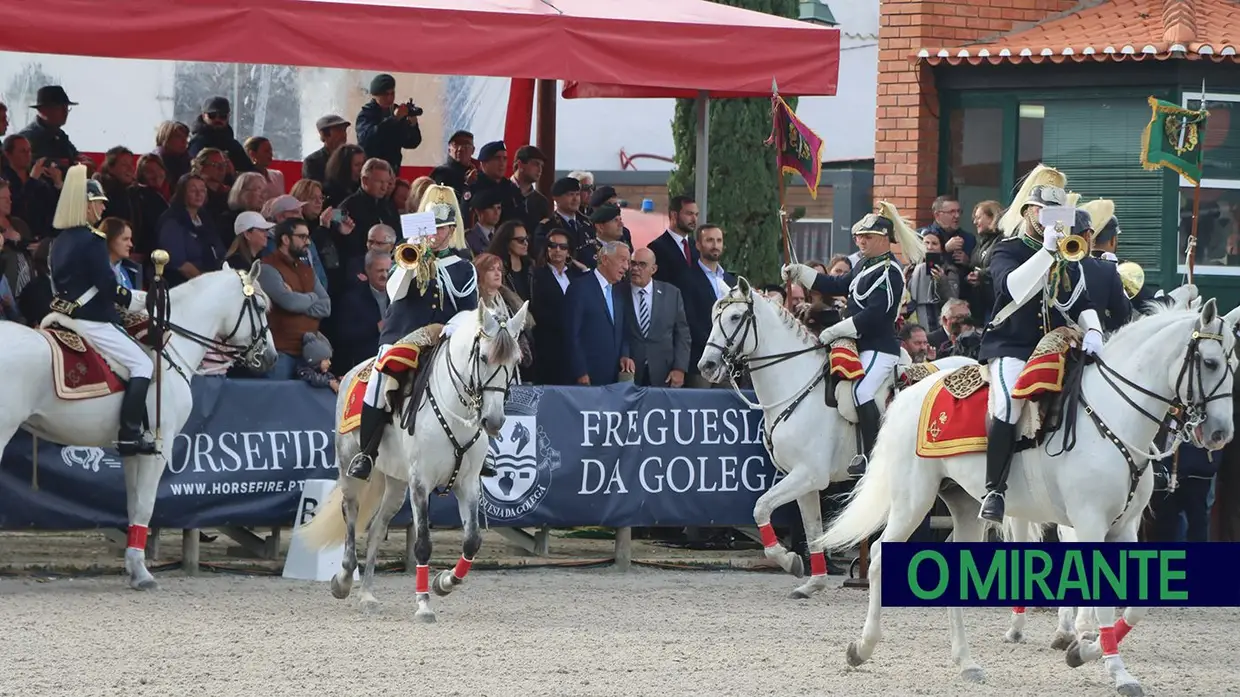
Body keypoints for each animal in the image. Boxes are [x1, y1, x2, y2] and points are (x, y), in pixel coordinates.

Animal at [0, 262, 274, 587]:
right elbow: (145, 504)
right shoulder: (159, 446)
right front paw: (142, 573)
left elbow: (132, 505)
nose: (270, 357)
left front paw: (133, 566)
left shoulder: (132, 448)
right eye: (260, 306)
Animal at [302, 301, 530, 615]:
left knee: (376, 530)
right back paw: (344, 579)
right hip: (350, 469)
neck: (456, 410)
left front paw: (444, 583)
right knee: (350, 514)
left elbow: (472, 541)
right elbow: (423, 543)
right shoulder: (421, 481)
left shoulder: (468, 483)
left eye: (515, 361)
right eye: (483, 357)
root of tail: (351, 373)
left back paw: (367, 595)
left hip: (397, 482)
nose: (493, 421)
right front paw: (423, 604)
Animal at [699, 276, 977, 597]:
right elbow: (812, 529)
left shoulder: (809, 474)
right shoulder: (802, 480)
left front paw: (787, 560)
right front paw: (812, 581)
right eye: (713, 317)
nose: (706, 366)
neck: (798, 386)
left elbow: (761, 508)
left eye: (734, 317)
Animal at [818, 295, 1235, 689]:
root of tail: (912, 390)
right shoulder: (1089, 524)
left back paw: (966, 662)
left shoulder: (1125, 527)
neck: (1112, 416)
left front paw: (1083, 651)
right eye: (1210, 363)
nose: (1220, 434)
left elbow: (1134, 605)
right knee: (878, 558)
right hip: (913, 500)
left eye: (1234, 365)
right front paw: (1116, 671)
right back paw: (862, 648)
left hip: (965, 506)